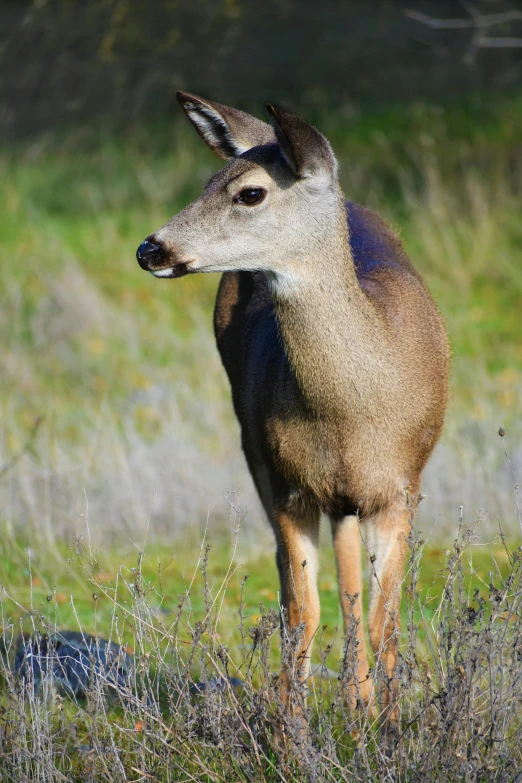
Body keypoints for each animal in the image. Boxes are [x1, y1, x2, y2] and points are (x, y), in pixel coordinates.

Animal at [136, 93, 448, 748]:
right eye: (206, 182)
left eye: (249, 192)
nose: (150, 249)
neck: (354, 413)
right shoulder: (286, 483)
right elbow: (301, 612)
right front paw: (291, 739)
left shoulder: (401, 488)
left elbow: (385, 619)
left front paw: (391, 734)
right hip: (254, 442)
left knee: (354, 585)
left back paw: (359, 707)